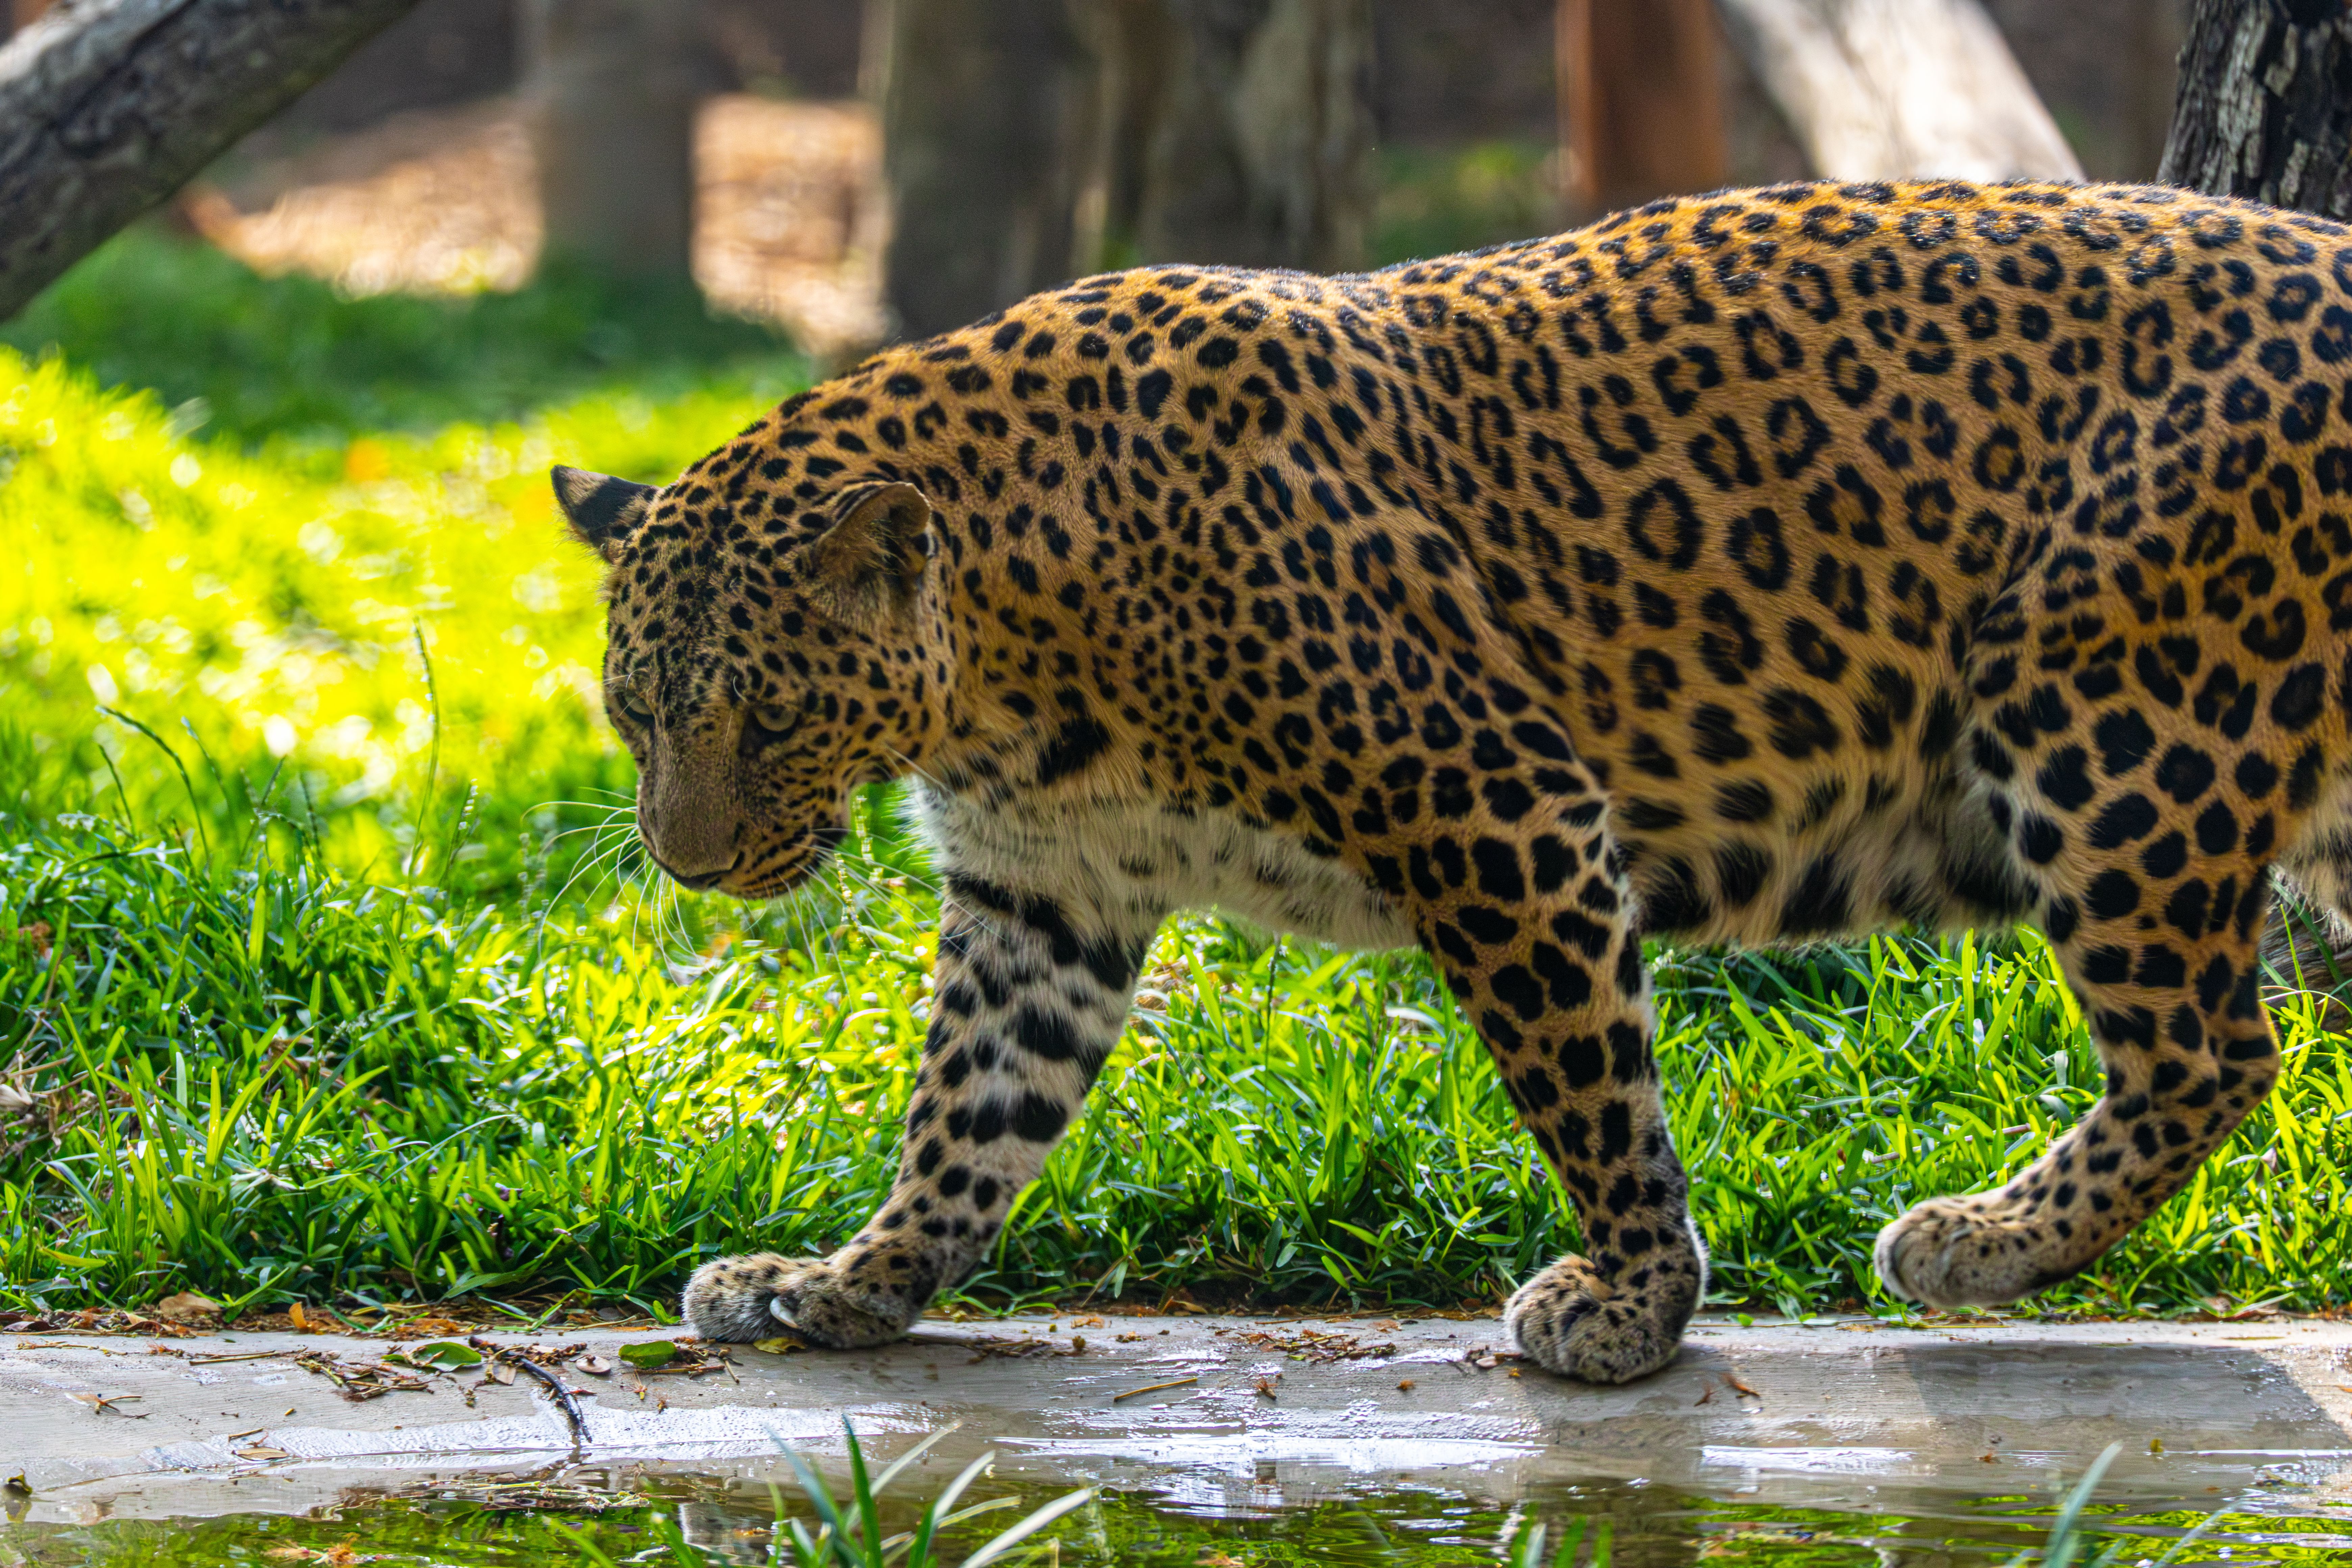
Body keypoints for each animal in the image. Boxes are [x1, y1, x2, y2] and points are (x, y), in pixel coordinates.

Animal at [553, 178, 2352, 1385]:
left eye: (771, 716)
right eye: (635, 715)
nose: (689, 866)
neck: (1008, 660)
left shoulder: (1496, 811)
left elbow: (1591, 1087)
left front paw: (1632, 1305)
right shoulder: (1039, 891)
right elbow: (966, 1114)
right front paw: (849, 1280)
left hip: (2105, 715)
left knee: (2212, 1046)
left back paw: (1970, 1244)